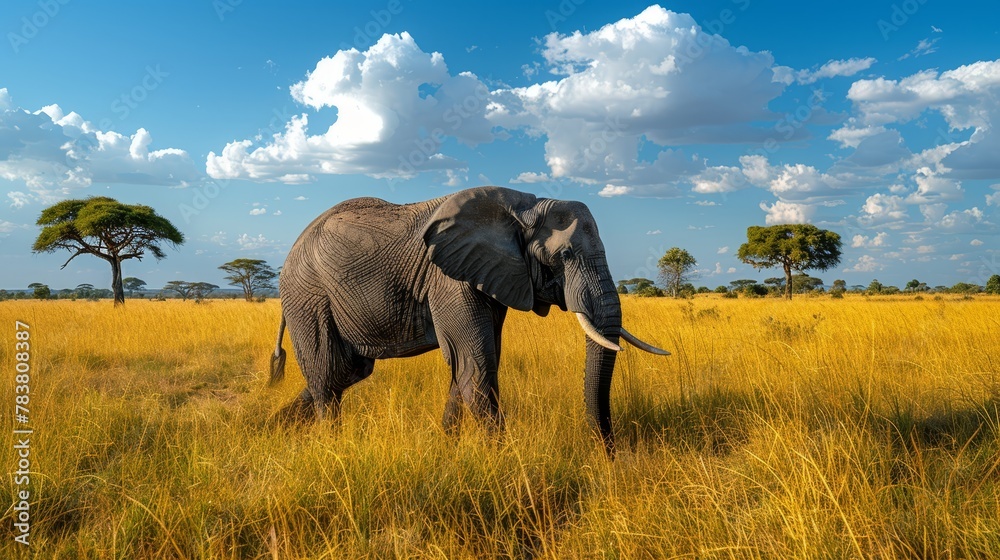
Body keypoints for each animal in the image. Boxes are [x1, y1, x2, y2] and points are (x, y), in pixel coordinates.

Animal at [270, 186, 668, 458]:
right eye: (566, 255)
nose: (610, 457)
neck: (522, 207)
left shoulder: (492, 274)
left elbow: (467, 366)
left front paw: (446, 448)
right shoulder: (450, 279)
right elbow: (475, 363)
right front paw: (502, 462)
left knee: (342, 372)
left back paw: (274, 426)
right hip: (308, 296)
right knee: (327, 373)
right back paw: (328, 444)